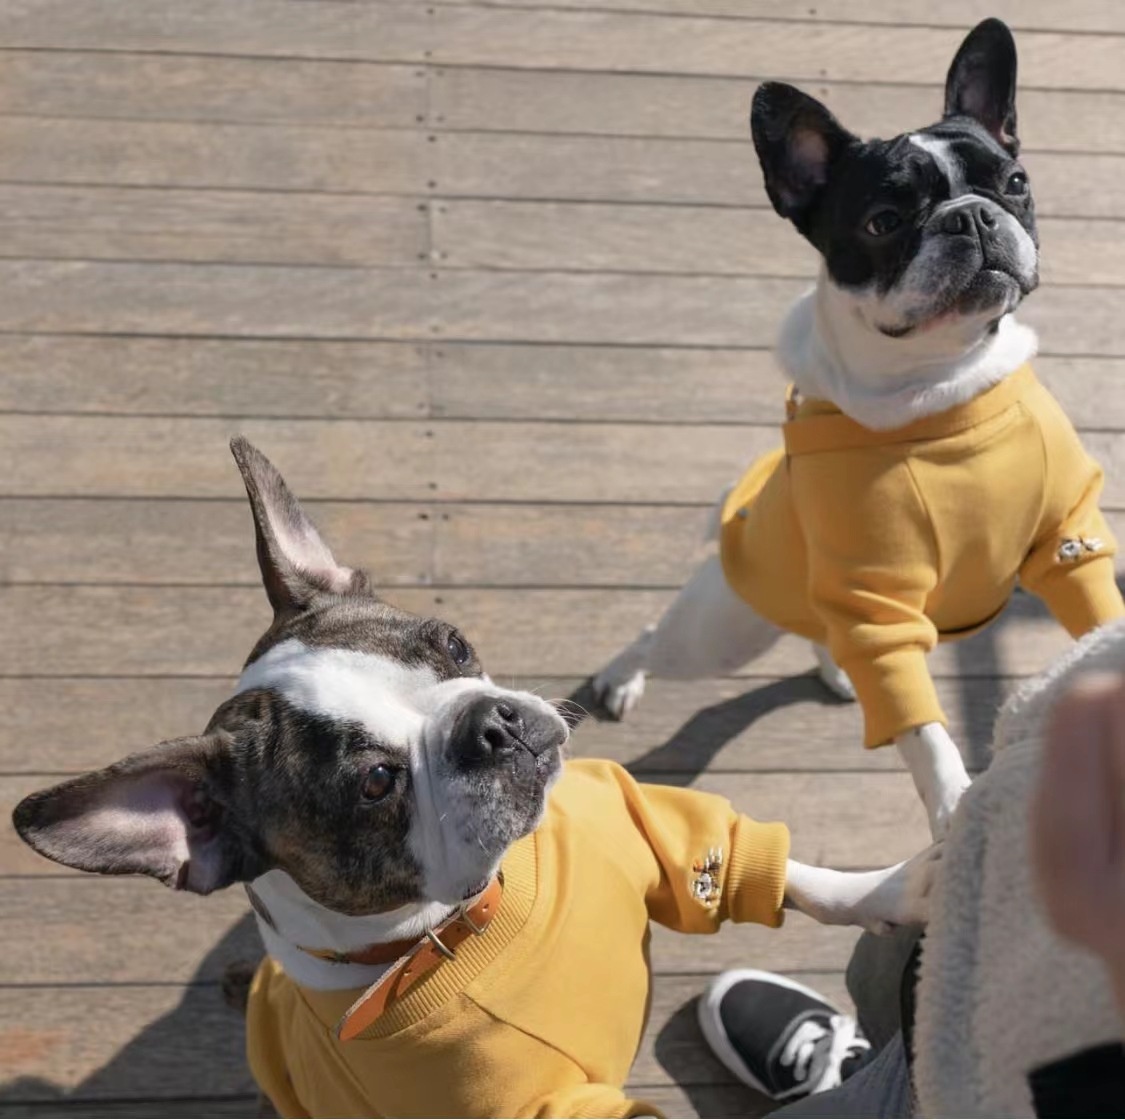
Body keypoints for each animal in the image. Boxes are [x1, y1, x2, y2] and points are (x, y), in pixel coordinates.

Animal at [13, 439, 938, 1118]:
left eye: (452, 645)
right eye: (375, 783)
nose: (491, 724)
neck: (466, 922)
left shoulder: (650, 827)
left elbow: (771, 868)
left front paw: (896, 891)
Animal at [593, 18, 1125, 841]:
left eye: (1013, 183)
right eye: (883, 221)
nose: (972, 215)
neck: (941, 385)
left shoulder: (1068, 543)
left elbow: (1097, 618)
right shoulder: (876, 599)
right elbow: (923, 732)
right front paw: (952, 811)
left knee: (819, 630)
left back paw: (830, 665)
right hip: (723, 629)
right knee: (660, 634)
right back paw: (619, 679)